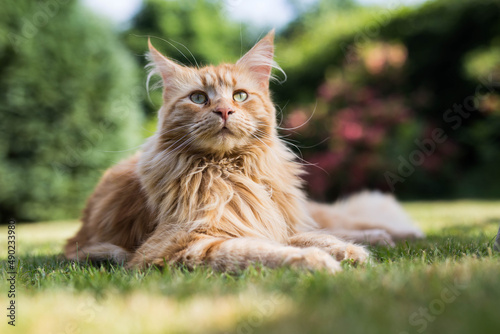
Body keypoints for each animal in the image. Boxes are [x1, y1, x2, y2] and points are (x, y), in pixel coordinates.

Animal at [64, 30, 424, 272]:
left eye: (239, 96)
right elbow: (259, 251)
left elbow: (305, 238)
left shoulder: (269, 220)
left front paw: (346, 251)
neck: (231, 172)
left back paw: (394, 235)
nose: (224, 111)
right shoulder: (177, 247)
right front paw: (316, 260)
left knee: (339, 223)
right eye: (198, 98)